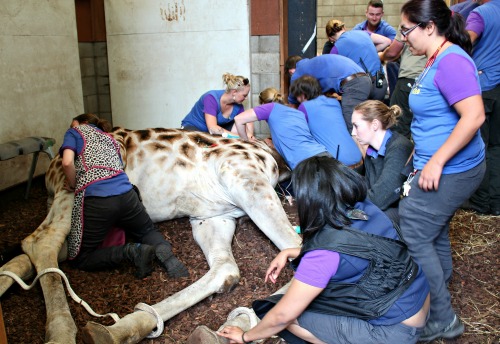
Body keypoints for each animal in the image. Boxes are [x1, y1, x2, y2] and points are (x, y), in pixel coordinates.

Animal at [0, 128, 300, 344]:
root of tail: (50, 171)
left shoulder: (215, 213)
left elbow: (229, 269)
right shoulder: (242, 177)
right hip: (74, 189)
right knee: (41, 241)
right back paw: (63, 331)